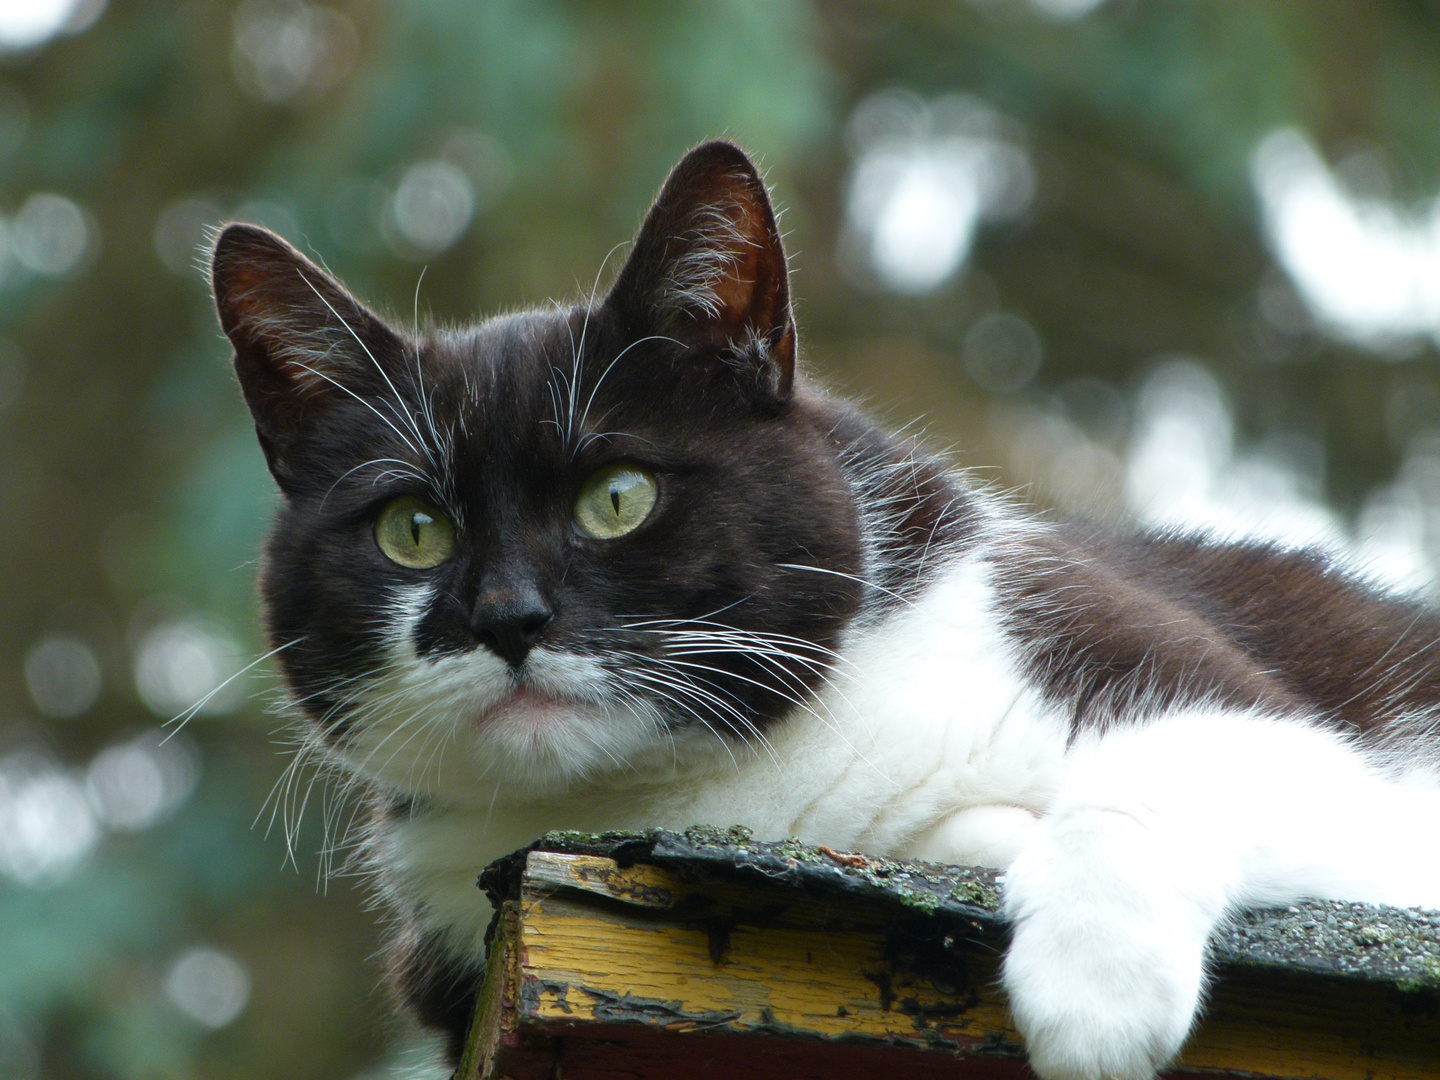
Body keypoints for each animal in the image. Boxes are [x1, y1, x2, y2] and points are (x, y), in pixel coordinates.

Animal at [208, 141, 1440, 1080]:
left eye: (618, 498)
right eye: (413, 529)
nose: (509, 618)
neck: (728, 778)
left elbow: (1181, 764)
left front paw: (1096, 996)